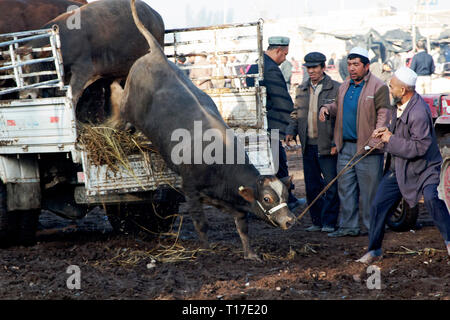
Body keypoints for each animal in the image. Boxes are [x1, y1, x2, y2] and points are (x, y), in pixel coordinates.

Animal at [110, 0, 298, 260]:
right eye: (267, 198)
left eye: (286, 194)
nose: (290, 220)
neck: (220, 163)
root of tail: (157, 54)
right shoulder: (189, 189)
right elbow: (201, 223)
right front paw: (206, 250)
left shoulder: (229, 201)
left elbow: (242, 225)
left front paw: (250, 253)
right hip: (128, 107)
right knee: (118, 106)